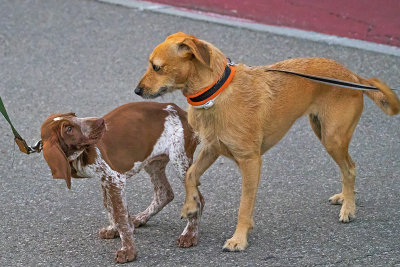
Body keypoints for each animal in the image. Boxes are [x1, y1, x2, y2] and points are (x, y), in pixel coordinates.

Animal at [39, 102, 199, 264]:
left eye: (74, 115)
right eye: (68, 129)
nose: (100, 122)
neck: (78, 156)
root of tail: (178, 110)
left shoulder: (114, 179)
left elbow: (119, 215)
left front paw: (128, 250)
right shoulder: (107, 180)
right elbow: (111, 208)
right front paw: (116, 230)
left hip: (180, 161)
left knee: (197, 198)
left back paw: (189, 234)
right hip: (153, 163)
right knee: (164, 193)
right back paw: (141, 218)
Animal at [135, 32, 400, 252]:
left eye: (157, 67)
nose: (137, 91)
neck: (217, 92)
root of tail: (353, 76)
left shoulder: (250, 162)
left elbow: (244, 205)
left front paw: (239, 239)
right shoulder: (212, 148)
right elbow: (191, 175)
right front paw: (190, 206)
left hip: (333, 137)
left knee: (350, 168)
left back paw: (349, 208)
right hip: (321, 130)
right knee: (347, 168)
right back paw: (345, 197)